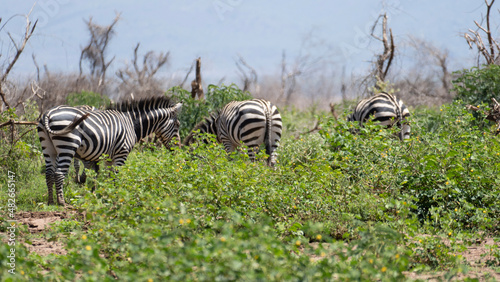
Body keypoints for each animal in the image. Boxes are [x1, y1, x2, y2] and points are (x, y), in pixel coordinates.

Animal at [37, 96, 182, 205]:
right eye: (177, 125)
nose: (179, 149)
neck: (131, 124)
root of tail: (48, 113)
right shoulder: (121, 153)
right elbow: (116, 177)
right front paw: (116, 197)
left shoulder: (108, 157)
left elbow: (108, 176)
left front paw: (106, 195)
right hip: (68, 145)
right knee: (59, 173)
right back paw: (61, 202)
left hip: (48, 147)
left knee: (49, 173)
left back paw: (50, 201)